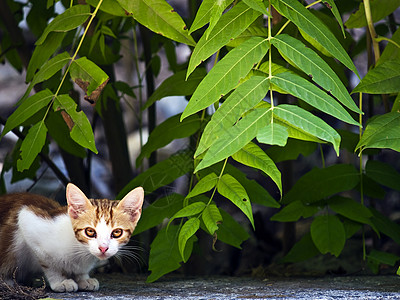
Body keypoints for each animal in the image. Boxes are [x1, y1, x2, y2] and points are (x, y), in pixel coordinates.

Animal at [0, 184, 145, 292]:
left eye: (117, 232)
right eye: (90, 231)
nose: (103, 248)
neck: (80, 250)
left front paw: (83, 278)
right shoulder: (28, 218)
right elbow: (49, 263)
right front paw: (60, 281)